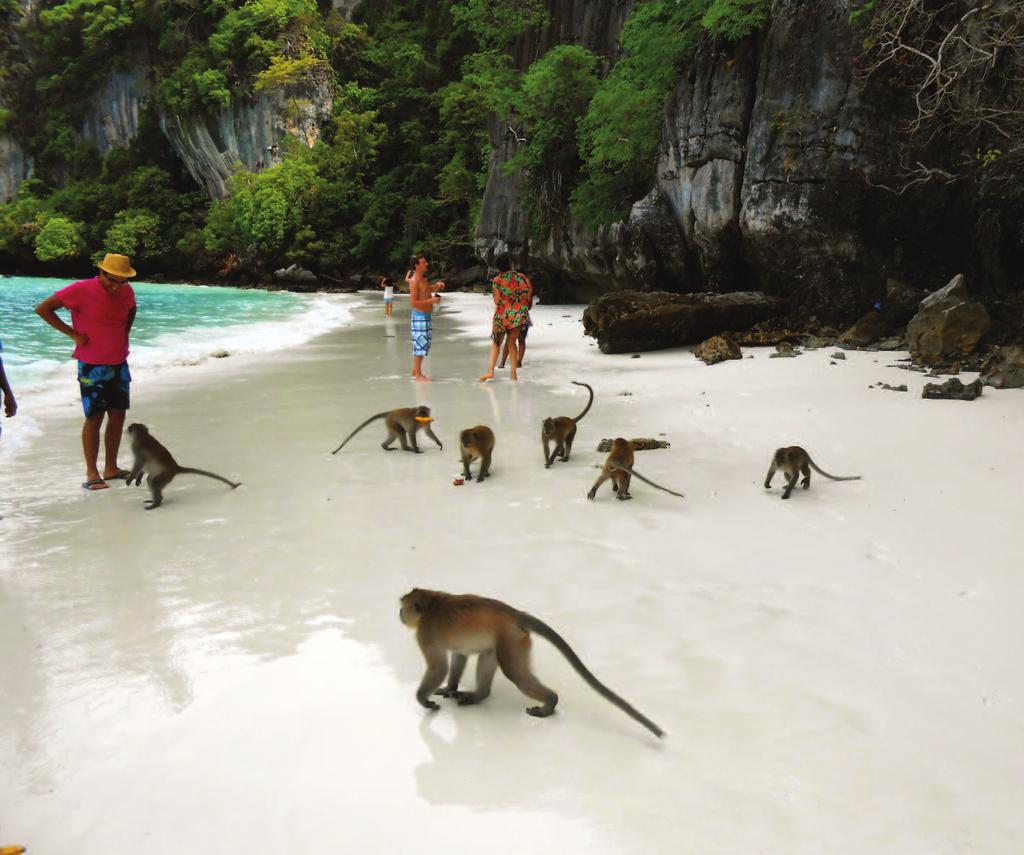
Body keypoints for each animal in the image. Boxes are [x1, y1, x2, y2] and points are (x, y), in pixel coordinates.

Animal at [399, 589, 663, 737]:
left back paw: (550, 702)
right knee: (489, 657)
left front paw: (424, 700)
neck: (432, 603)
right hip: (504, 640)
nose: (399, 614)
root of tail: (517, 614)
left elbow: (438, 667)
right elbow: (459, 656)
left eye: (403, 608)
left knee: (515, 672)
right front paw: (449, 687)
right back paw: (478, 695)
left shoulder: (425, 632)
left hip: (513, 641)